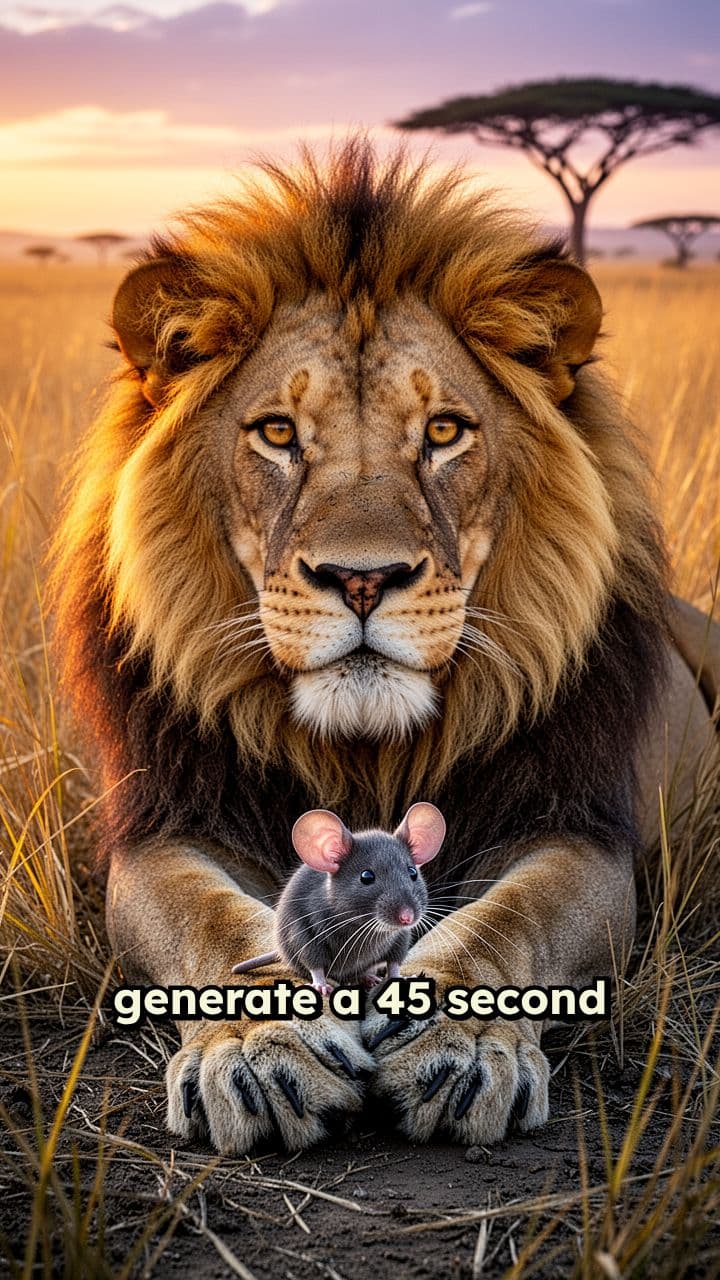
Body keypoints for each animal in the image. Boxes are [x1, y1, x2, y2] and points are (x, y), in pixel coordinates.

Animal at [50, 140, 719, 1153]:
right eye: (278, 433)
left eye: (443, 431)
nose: (362, 580)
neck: (367, 748)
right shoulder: (168, 825)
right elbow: (210, 921)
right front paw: (260, 1049)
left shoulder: (576, 824)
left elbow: (512, 917)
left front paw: (460, 1041)